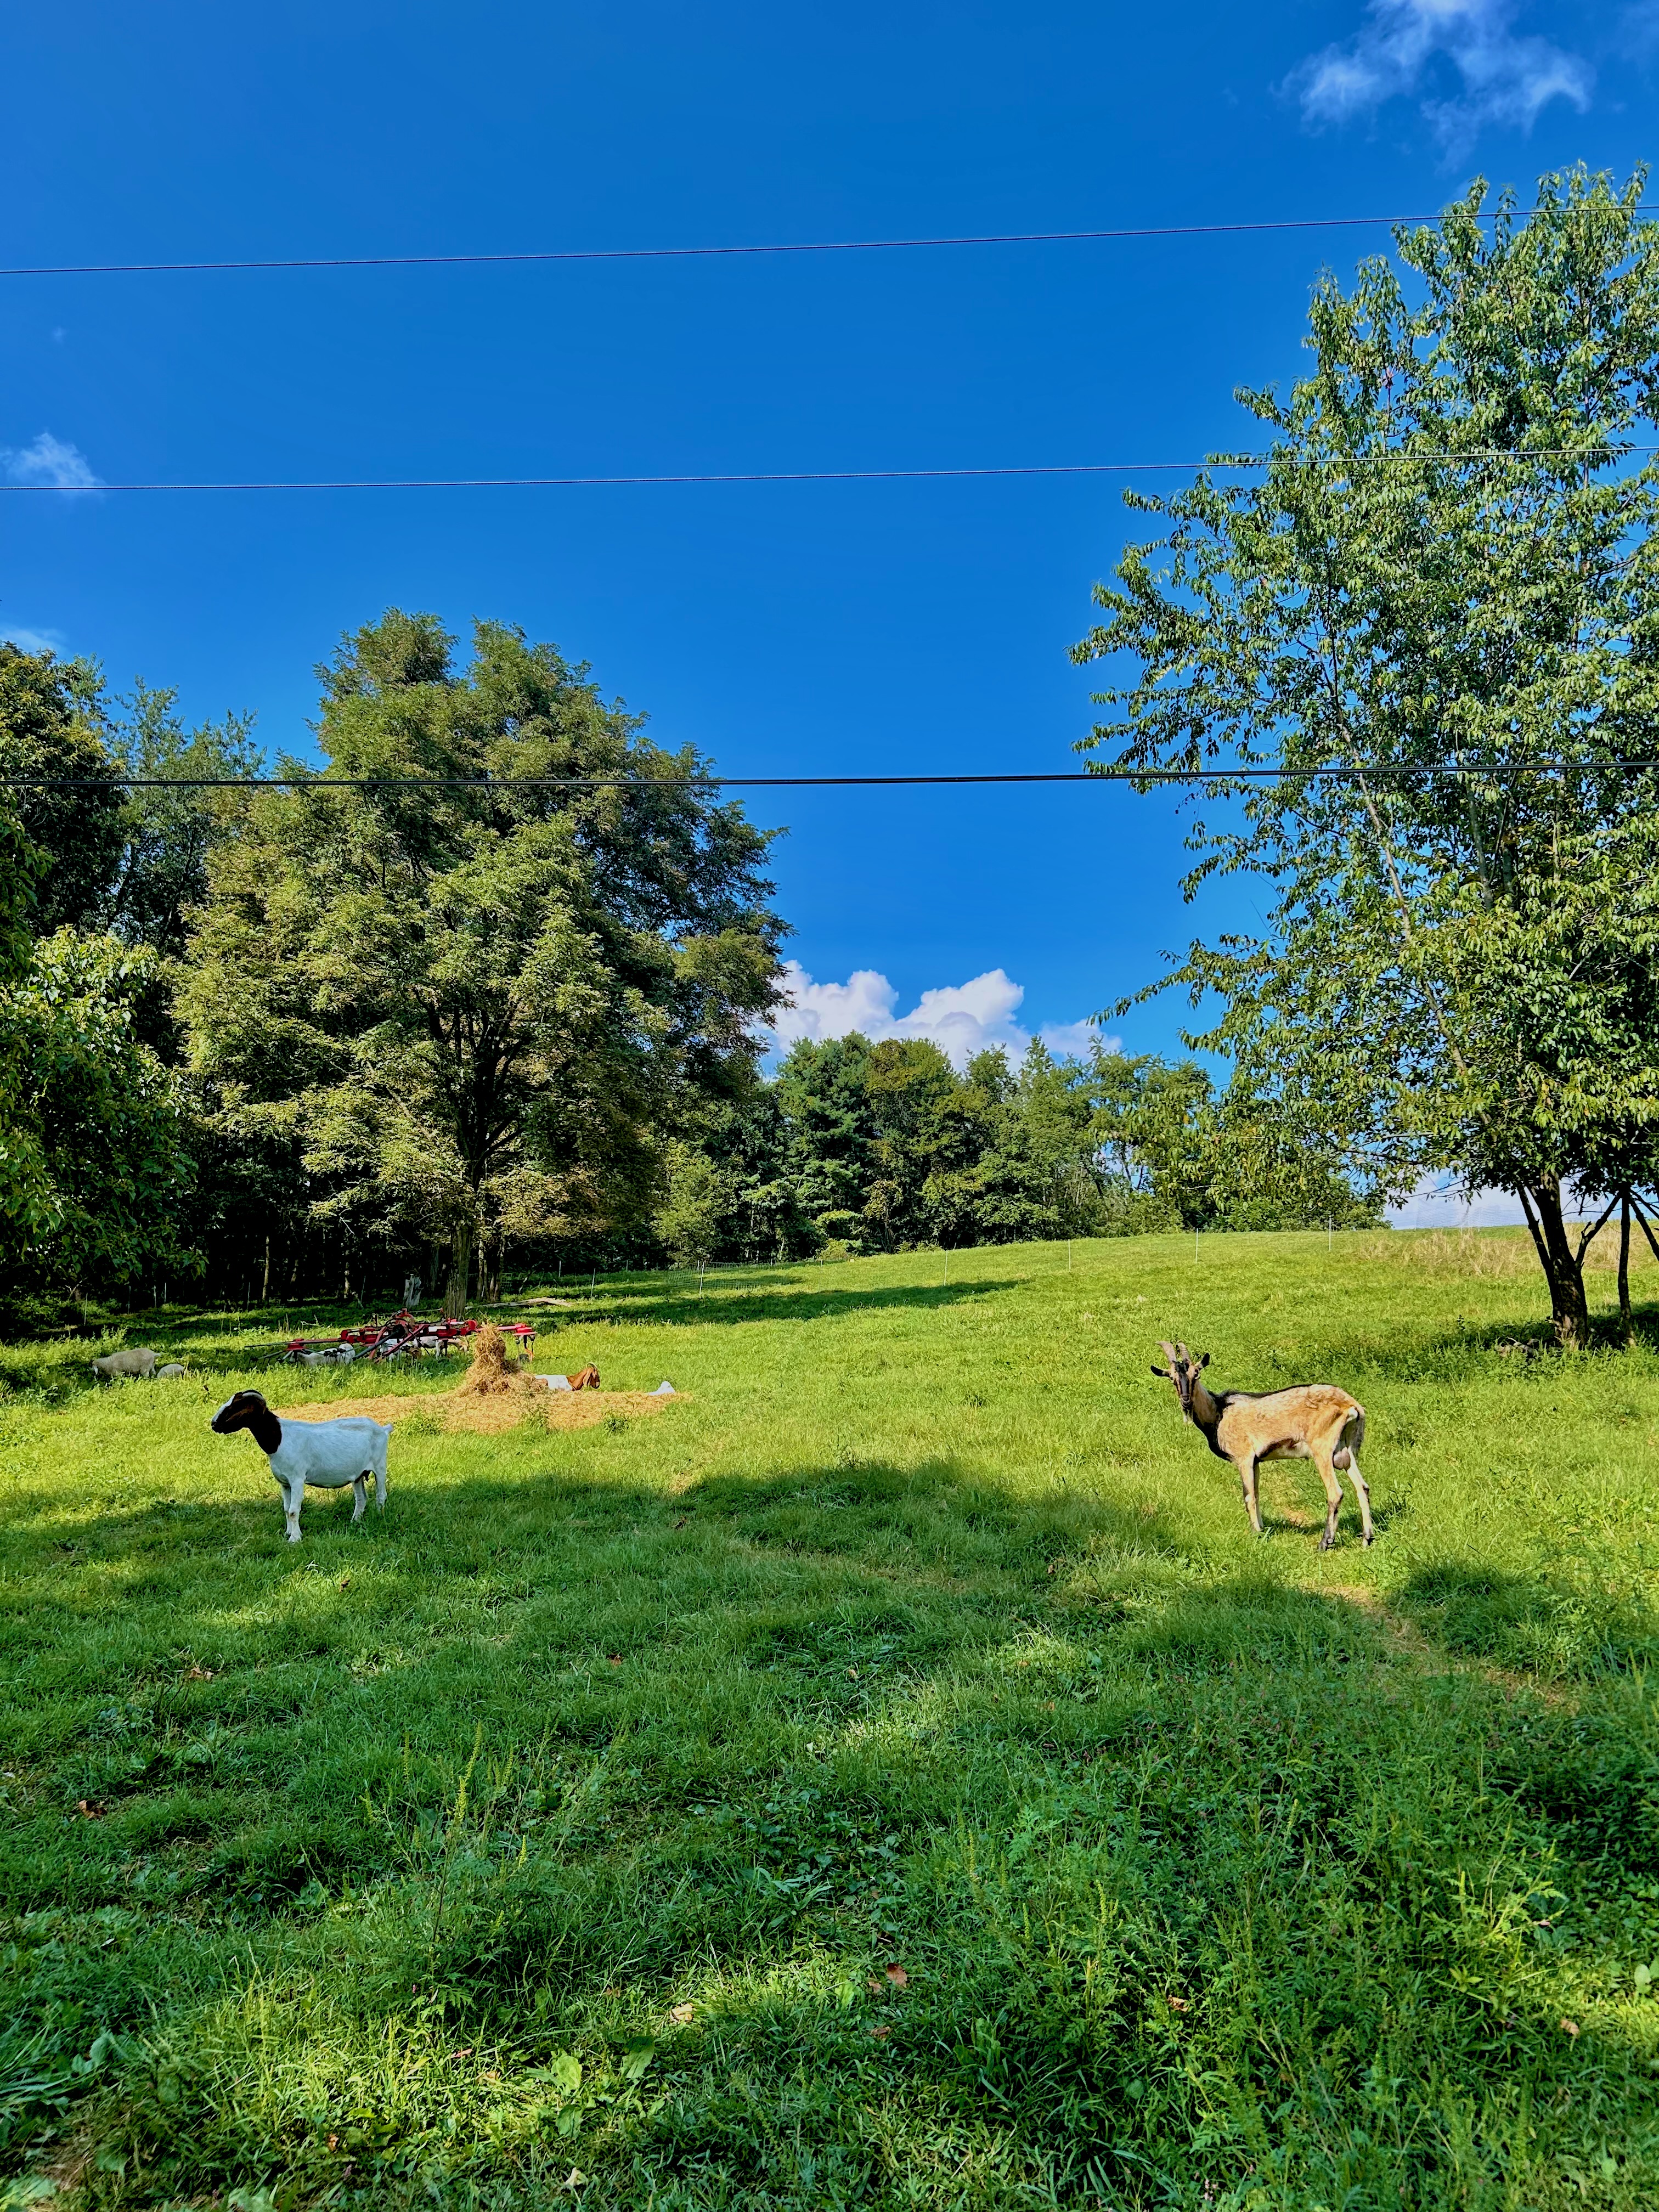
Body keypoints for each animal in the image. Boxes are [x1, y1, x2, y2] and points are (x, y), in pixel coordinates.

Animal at [211, 1389, 391, 1543]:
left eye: (237, 1406)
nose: (214, 1424)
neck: (279, 1438)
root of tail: (383, 1429)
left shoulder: (297, 1479)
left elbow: (293, 1510)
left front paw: (295, 1539)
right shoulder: (284, 1482)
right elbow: (286, 1509)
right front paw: (288, 1533)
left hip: (380, 1466)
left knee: (381, 1495)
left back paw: (379, 1518)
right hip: (358, 1474)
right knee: (361, 1499)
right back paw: (355, 1522)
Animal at [1151, 1340, 1373, 1549]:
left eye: (1196, 1374)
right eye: (1172, 1378)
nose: (1186, 1401)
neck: (1218, 1413)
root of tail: (1351, 1406)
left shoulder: (1244, 1457)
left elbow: (1248, 1496)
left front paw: (1256, 1534)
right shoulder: (1256, 1461)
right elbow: (1257, 1494)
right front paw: (1263, 1529)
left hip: (1322, 1449)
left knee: (1335, 1492)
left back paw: (1325, 1543)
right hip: (1348, 1448)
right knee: (1363, 1487)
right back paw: (1367, 1539)